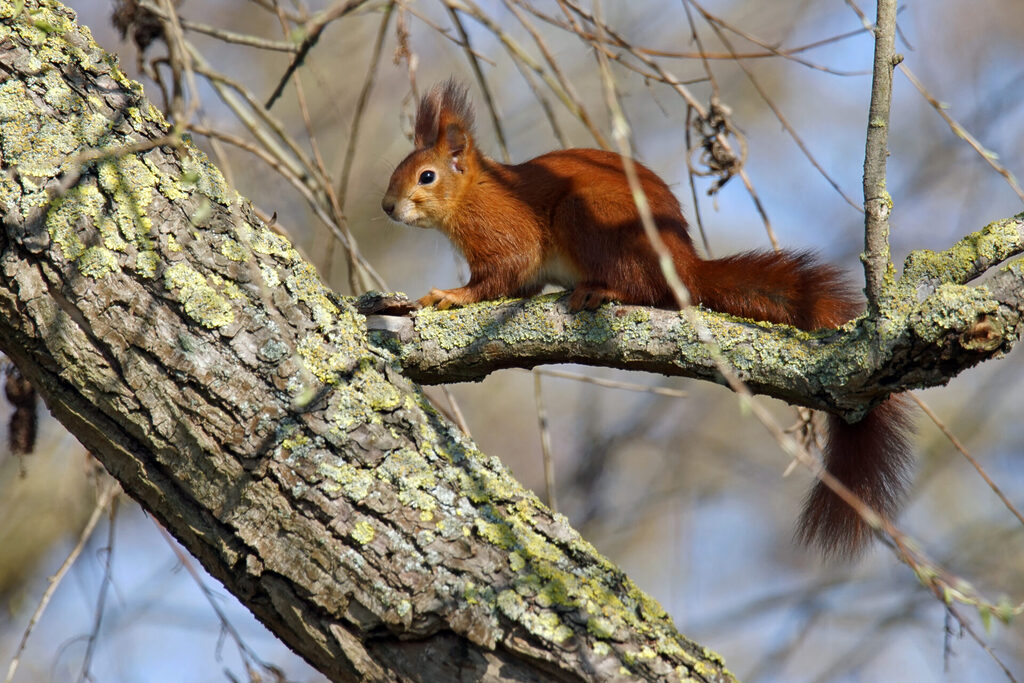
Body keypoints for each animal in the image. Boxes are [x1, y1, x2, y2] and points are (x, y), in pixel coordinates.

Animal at [382, 79, 913, 557]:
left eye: (426, 176)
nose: (387, 207)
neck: (474, 193)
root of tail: (684, 268)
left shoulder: (506, 233)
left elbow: (503, 274)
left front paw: (452, 295)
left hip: (590, 217)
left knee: (646, 290)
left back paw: (601, 288)